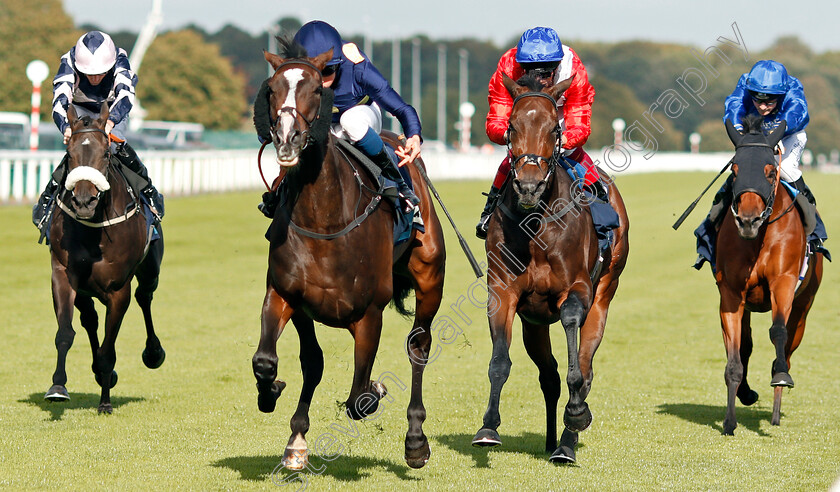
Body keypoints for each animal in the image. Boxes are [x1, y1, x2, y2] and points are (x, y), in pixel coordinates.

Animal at [45, 104, 164, 416]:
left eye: (106, 154)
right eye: (70, 154)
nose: (84, 201)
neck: (93, 229)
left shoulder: (118, 290)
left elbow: (108, 350)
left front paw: (105, 402)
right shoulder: (63, 275)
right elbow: (65, 333)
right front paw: (58, 387)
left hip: (151, 269)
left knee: (145, 296)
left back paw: (153, 352)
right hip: (85, 291)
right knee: (89, 319)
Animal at [249, 40, 446, 470]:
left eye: (314, 89)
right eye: (272, 89)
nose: (287, 140)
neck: (324, 221)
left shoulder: (370, 313)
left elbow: (359, 399)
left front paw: (377, 389)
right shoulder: (287, 294)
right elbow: (281, 361)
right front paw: (287, 423)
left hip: (430, 278)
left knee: (418, 347)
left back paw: (416, 440)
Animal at [472, 75, 632, 464]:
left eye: (554, 128)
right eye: (512, 127)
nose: (529, 186)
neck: (535, 225)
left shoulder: (578, 289)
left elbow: (575, 347)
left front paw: (575, 417)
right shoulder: (503, 292)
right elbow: (500, 362)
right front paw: (488, 427)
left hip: (604, 295)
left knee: (584, 369)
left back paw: (566, 442)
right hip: (534, 323)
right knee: (550, 376)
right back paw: (550, 440)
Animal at [712, 117, 824, 436]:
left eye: (770, 171)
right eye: (734, 170)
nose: (748, 221)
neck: (758, 240)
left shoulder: (783, 283)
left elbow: (778, 332)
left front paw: (781, 376)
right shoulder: (731, 294)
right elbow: (735, 354)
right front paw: (729, 420)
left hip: (804, 306)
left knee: (787, 345)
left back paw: (775, 406)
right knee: (746, 344)